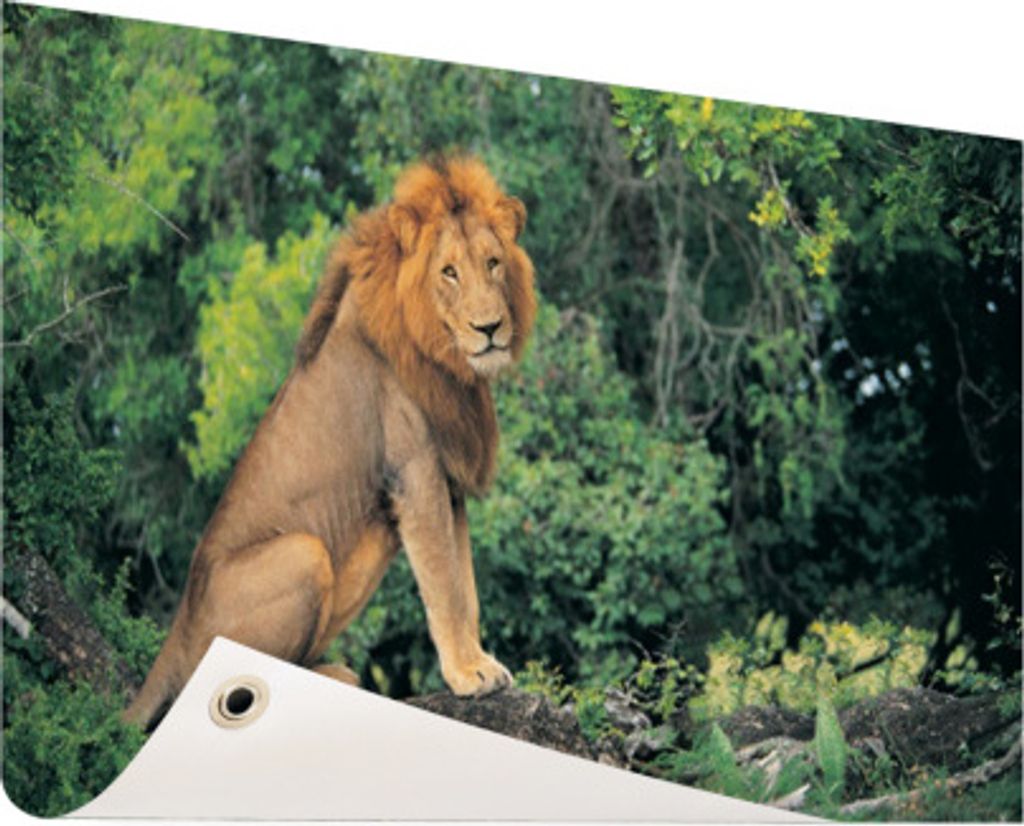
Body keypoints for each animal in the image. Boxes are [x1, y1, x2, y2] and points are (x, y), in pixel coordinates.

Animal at [124, 155, 536, 730]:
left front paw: (479, 663)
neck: (445, 360)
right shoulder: (414, 472)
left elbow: (464, 585)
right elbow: (445, 586)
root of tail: (177, 628)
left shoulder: (447, 484)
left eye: (494, 263)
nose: (491, 328)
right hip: (302, 553)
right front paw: (467, 675)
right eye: (449, 272)